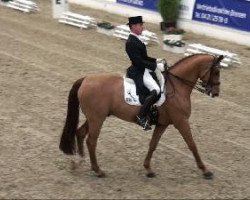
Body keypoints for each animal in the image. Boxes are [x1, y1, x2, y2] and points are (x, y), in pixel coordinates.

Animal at [59, 54, 224, 179]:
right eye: (216, 71)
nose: (215, 93)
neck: (177, 87)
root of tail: (86, 79)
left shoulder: (163, 124)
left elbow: (153, 144)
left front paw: (148, 169)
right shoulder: (181, 121)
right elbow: (192, 145)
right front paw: (205, 171)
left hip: (95, 117)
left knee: (80, 133)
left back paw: (78, 162)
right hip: (97, 119)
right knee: (91, 141)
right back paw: (98, 170)